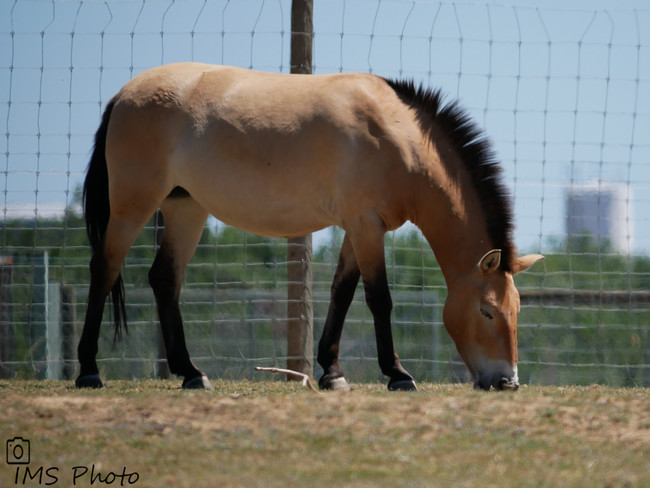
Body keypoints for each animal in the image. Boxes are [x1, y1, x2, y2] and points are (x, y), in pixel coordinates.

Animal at [77, 63, 540, 392]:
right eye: (487, 311)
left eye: (517, 312)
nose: (507, 381)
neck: (397, 136)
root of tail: (122, 96)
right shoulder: (365, 224)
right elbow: (379, 299)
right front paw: (397, 374)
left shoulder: (358, 228)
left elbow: (341, 293)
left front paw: (332, 373)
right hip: (133, 205)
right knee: (105, 268)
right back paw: (88, 370)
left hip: (185, 208)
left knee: (164, 279)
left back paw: (191, 372)